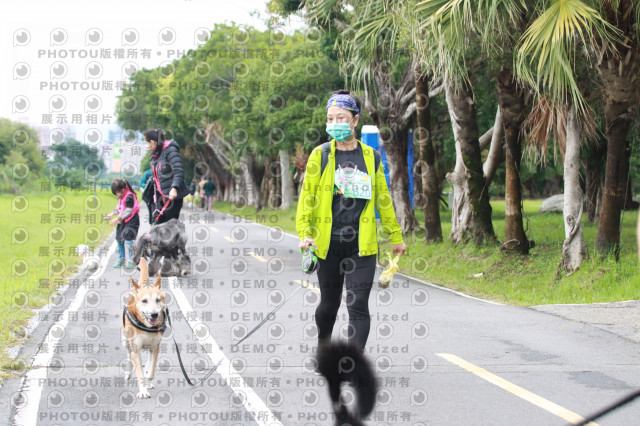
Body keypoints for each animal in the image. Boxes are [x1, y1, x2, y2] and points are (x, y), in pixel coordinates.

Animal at [120, 256, 165, 400]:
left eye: (158, 300)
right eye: (144, 301)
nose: (154, 314)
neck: (146, 326)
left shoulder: (155, 347)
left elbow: (150, 370)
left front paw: (148, 382)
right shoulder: (135, 348)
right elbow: (139, 370)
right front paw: (143, 391)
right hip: (125, 340)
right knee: (129, 355)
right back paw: (128, 373)